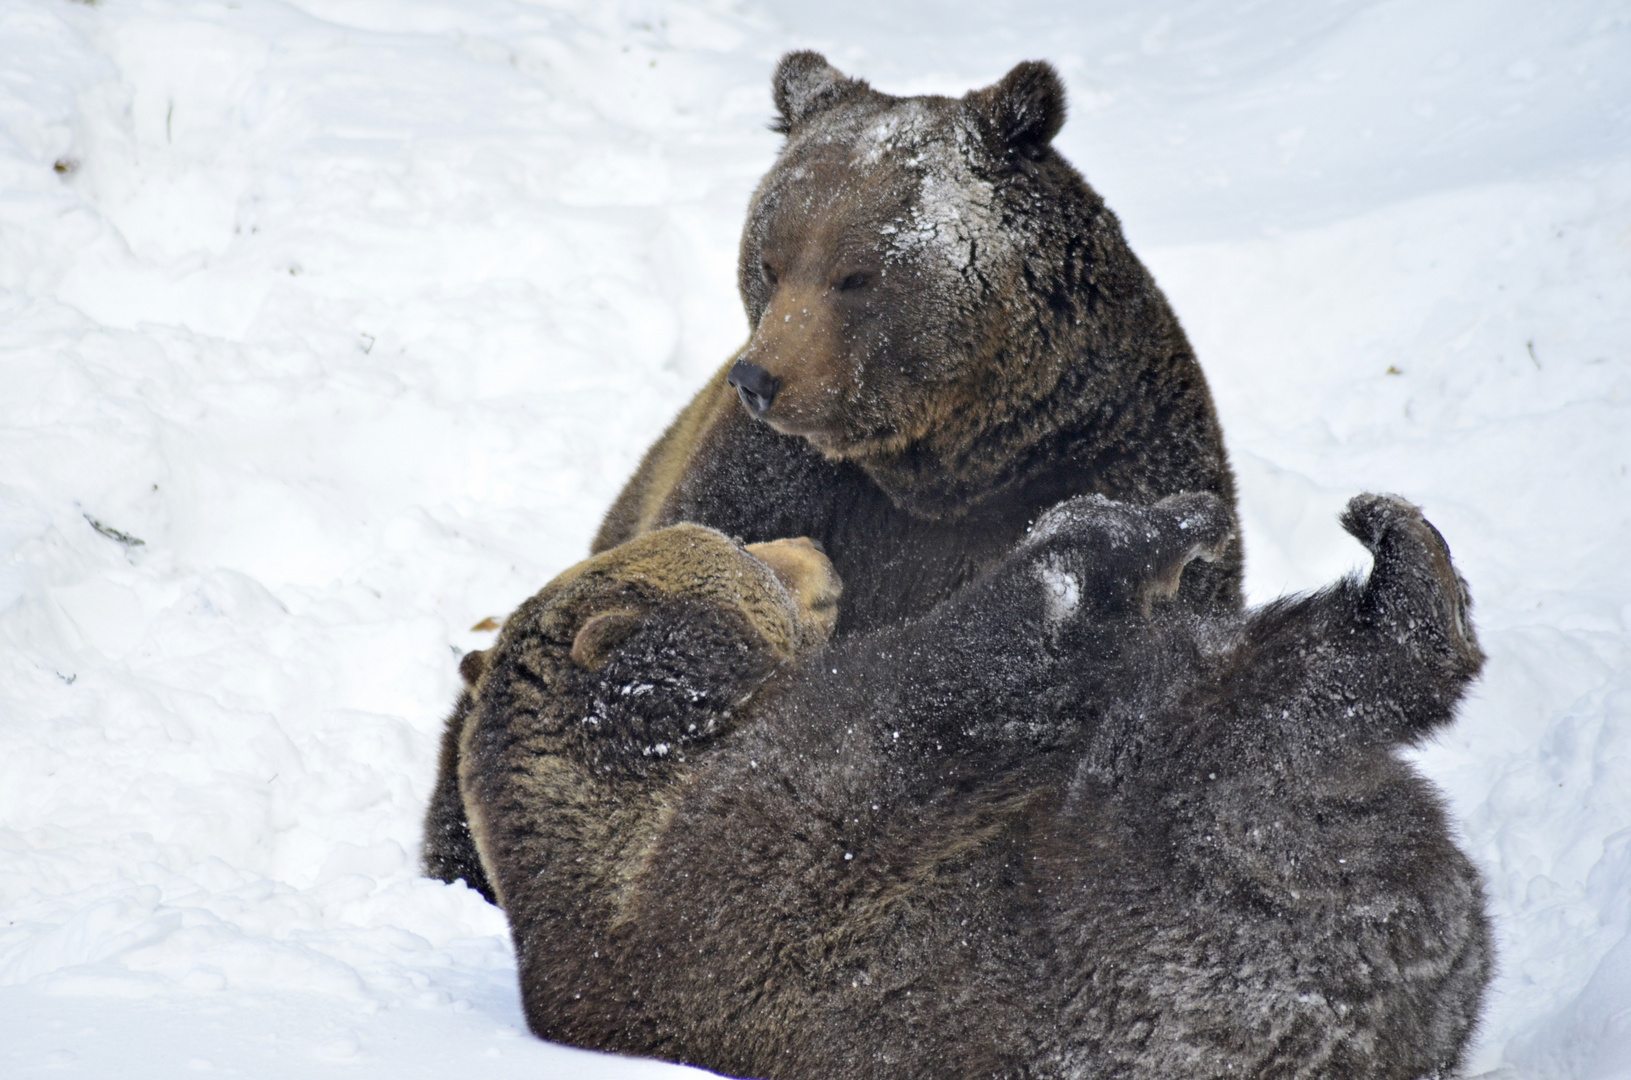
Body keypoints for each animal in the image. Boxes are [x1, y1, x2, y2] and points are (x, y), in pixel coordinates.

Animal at [459, 495, 1493, 1080]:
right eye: (741, 549)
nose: (815, 547)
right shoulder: (744, 862)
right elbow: (948, 682)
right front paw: (1123, 523)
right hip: (1179, 885)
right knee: (1266, 715)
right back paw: (1402, 563)